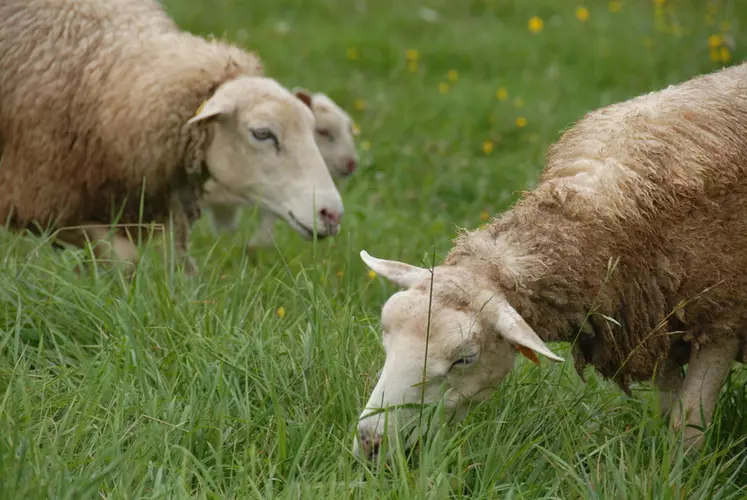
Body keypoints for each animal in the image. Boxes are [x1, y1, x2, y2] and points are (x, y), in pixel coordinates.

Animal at [354, 60, 747, 458]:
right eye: (386, 333)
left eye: (464, 359)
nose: (370, 442)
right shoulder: (652, 325)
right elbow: (670, 410)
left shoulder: (722, 321)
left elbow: (689, 423)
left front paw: (681, 468)